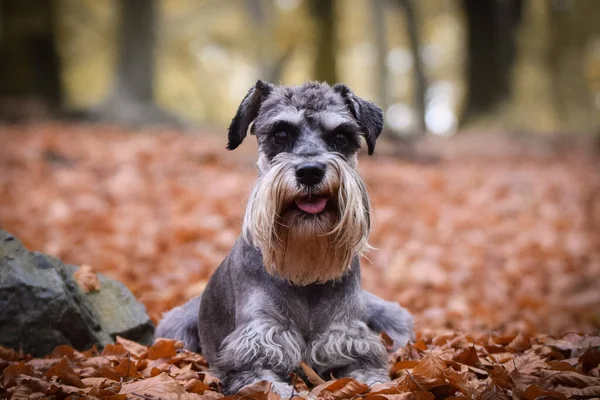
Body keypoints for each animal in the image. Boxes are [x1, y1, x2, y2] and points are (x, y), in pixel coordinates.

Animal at [157, 81, 414, 396]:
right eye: (280, 135)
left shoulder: (348, 337)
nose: (310, 171)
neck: (304, 273)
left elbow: (371, 375)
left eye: (341, 137)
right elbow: (270, 384)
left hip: (391, 315)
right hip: (175, 328)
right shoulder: (257, 344)